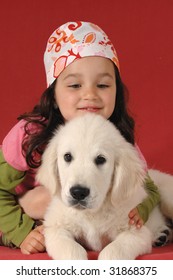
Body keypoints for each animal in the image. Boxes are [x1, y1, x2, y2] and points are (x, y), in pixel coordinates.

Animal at [36, 114, 173, 260]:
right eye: (67, 156)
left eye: (100, 159)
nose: (78, 192)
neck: (92, 213)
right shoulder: (55, 228)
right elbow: (72, 250)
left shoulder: (137, 232)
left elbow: (113, 251)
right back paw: (161, 235)